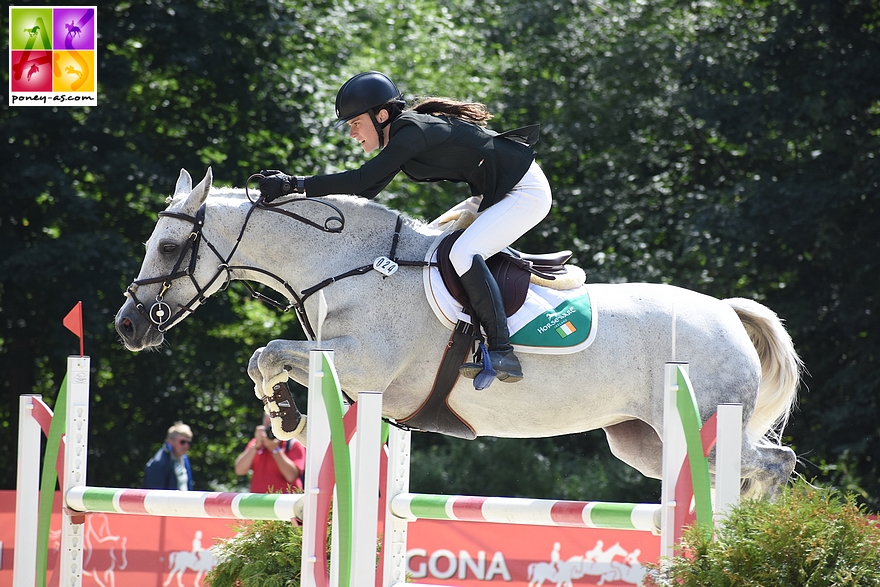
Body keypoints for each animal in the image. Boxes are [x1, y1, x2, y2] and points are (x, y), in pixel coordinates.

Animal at [117, 168, 804, 498]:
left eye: (171, 246)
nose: (128, 327)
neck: (352, 263)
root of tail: (725, 313)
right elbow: (270, 360)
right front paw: (286, 412)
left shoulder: (362, 363)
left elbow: (269, 352)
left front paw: (283, 412)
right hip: (646, 441)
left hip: (709, 419)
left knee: (775, 463)